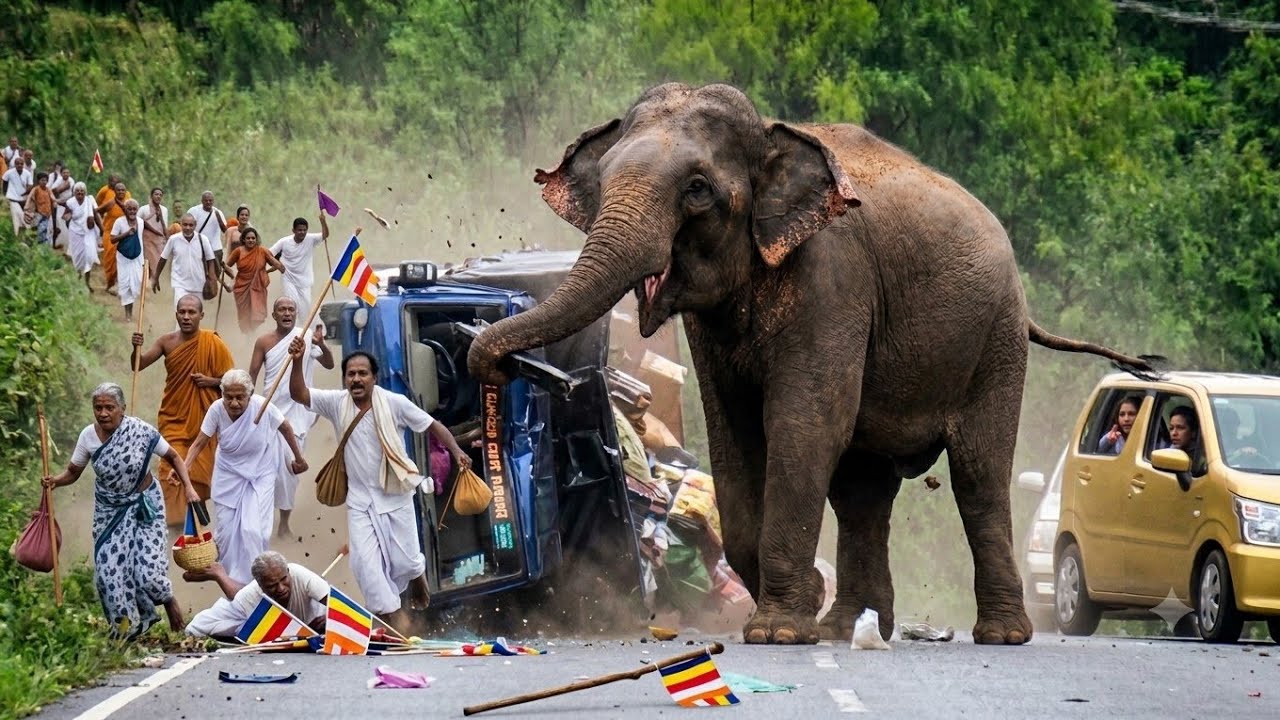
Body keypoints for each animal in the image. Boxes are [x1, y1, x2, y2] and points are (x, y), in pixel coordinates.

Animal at [467, 83, 1152, 645]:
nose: (489, 362)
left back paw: (999, 636)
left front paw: (776, 633)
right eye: (605, 178)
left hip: (996, 341)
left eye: (697, 190)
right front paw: (795, 615)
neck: (774, 139)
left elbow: (803, 425)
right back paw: (847, 626)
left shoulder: (834, 281)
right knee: (863, 490)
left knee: (978, 475)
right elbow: (735, 436)